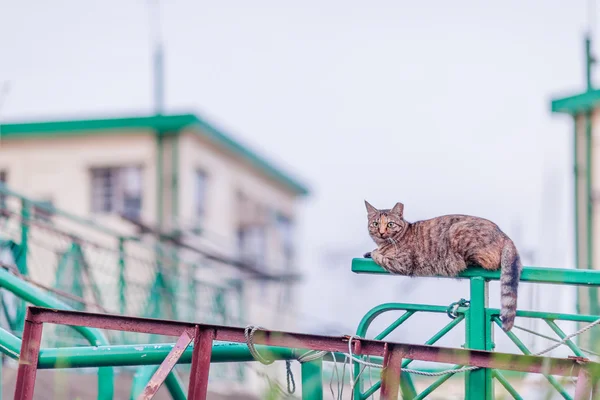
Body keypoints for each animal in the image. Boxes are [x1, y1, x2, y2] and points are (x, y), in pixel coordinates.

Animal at [360, 200, 520, 332]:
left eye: (390, 224)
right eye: (375, 224)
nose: (381, 232)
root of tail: (504, 235)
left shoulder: (401, 263)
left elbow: (379, 256)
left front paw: (374, 252)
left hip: (458, 232)